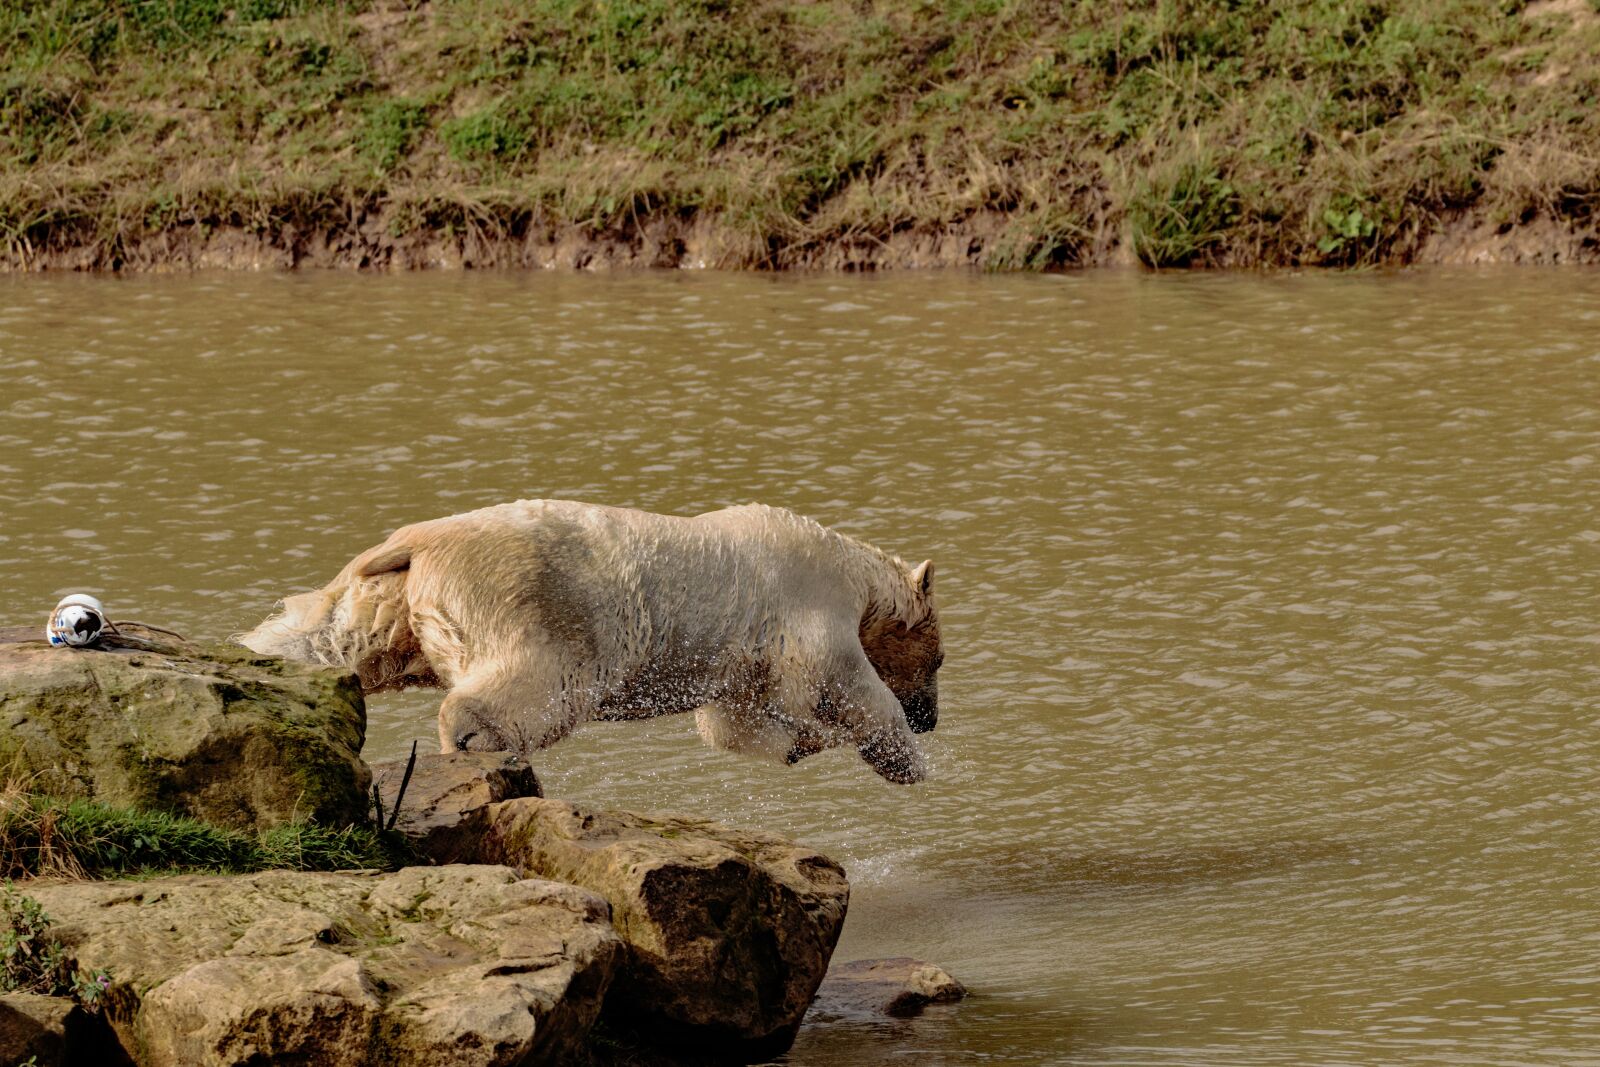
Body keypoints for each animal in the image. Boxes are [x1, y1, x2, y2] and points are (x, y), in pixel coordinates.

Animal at [239, 500, 942, 783]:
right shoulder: (808, 610)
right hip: (536, 605)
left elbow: (732, 721)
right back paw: (472, 737)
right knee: (535, 687)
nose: (931, 720)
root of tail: (415, 541)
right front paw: (905, 761)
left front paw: (799, 744)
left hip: (388, 599)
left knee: (329, 636)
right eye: (938, 661)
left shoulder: (738, 658)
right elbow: (846, 686)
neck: (849, 569)